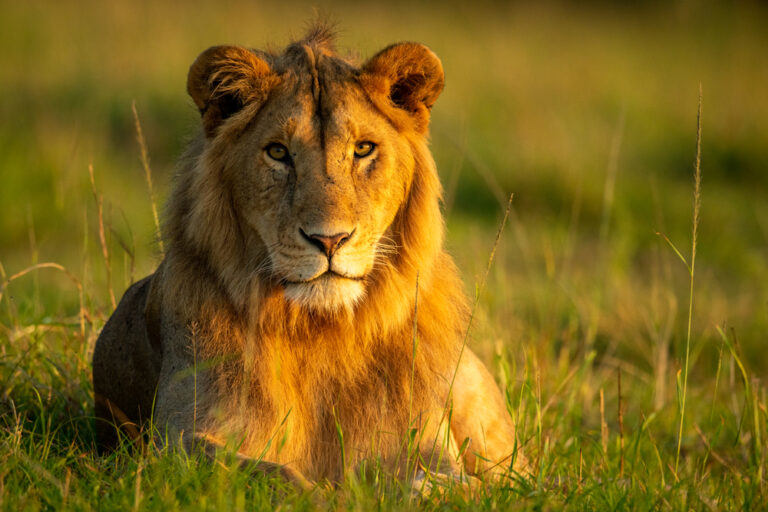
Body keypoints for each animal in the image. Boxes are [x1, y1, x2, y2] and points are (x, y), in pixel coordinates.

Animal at [93, 26, 524, 487]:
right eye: (278, 152)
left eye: (363, 149)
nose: (330, 240)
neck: (323, 330)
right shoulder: (174, 443)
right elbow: (277, 478)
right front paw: (329, 493)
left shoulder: (427, 442)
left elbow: (453, 483)